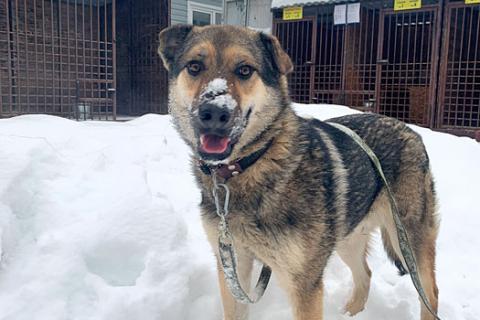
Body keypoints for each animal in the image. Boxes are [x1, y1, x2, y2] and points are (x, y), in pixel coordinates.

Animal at [158, 23, 438, 318]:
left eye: (245, 70)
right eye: (194, 66)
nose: (213, 112)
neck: (253, 164)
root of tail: (408, 129)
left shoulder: (303, 284)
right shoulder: (233, 268)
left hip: (408, 239)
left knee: (429, 293)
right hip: (347, 239)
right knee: (366, 274)